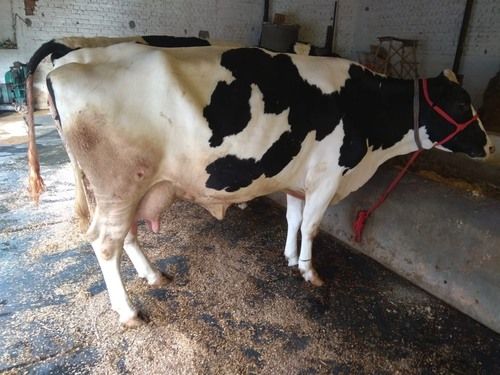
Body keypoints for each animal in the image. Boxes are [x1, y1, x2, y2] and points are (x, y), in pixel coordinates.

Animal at [26, 42, 492, 328]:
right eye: (460, 103)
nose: (488, 145)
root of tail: (70, 64)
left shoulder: (299, 179)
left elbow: (294, 218)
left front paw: (288, 258)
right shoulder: (328, 176)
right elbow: (313, 226)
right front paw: (309, 271)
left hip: (124, 189)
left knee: (125, 236)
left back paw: (153, 274)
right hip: (119, 184)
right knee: (105, 242)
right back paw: (127, 311)